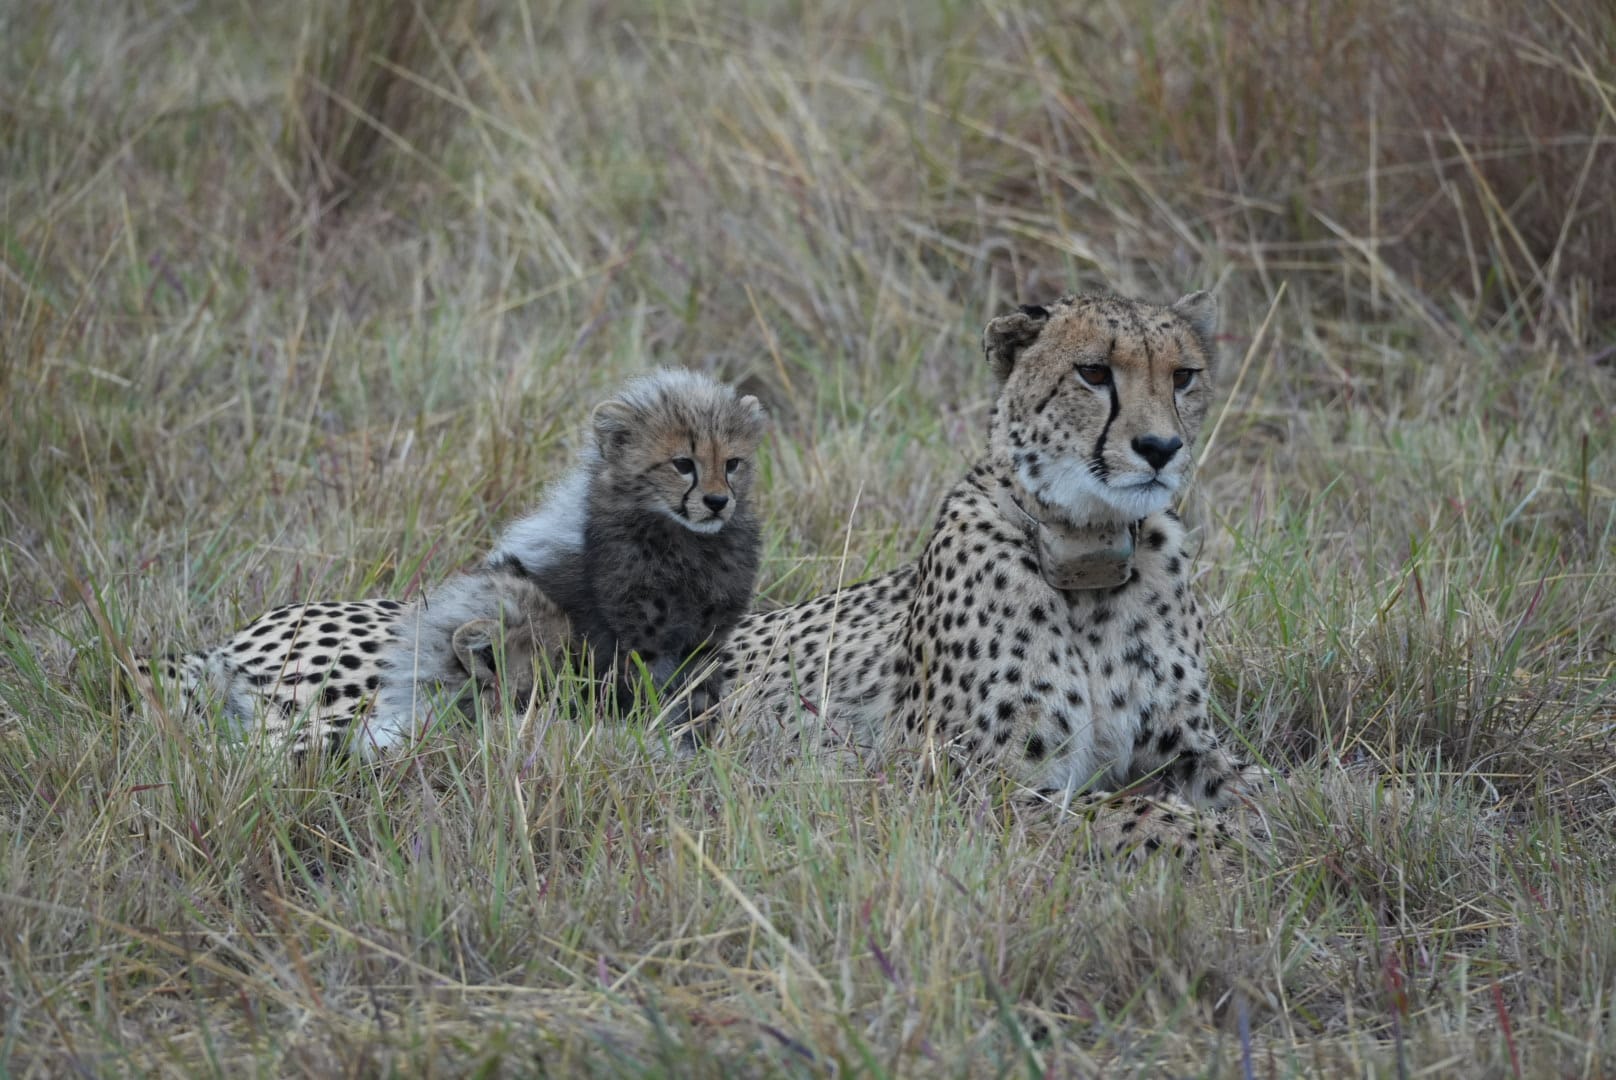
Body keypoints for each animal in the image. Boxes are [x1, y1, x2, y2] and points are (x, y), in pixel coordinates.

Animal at [707, 290, 1263, 863]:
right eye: (1093, 372)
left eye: (1183, 376)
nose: (1160, 447)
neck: (1087, 559)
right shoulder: (965, 786)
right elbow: (1134, 814)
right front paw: (1237, 844)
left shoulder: (1186, 745)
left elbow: (1261, 785)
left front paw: (1279, 827)